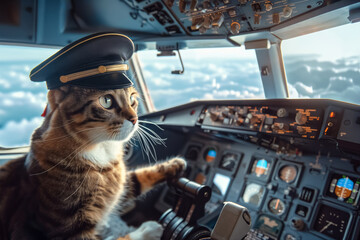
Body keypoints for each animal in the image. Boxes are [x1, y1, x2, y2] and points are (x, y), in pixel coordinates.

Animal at [0, 85, 186, 239]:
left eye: (132, 99)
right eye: (107, 101)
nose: (135, 119)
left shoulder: (120, 184)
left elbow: (140, 178)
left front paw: (175, 164)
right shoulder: (68, 229)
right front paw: (147, 231)